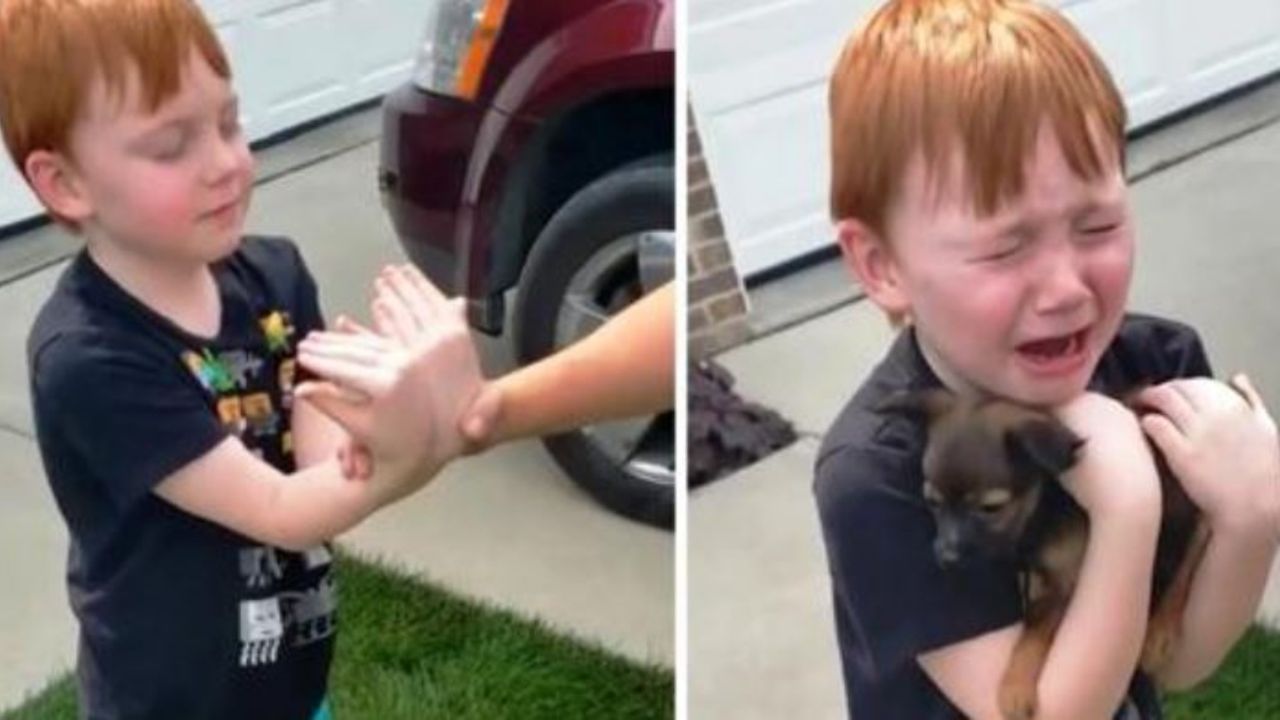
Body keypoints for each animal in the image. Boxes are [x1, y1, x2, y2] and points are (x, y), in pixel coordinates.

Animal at [880, 386, 1208, 717]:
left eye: (991, 508)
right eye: (933, 502)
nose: (946, 558)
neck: (1044, 506)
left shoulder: (1066, 581)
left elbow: (1034, 631)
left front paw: (1015, 689)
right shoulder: (1037, 575)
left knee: (1188, 562)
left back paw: (1160, 632)